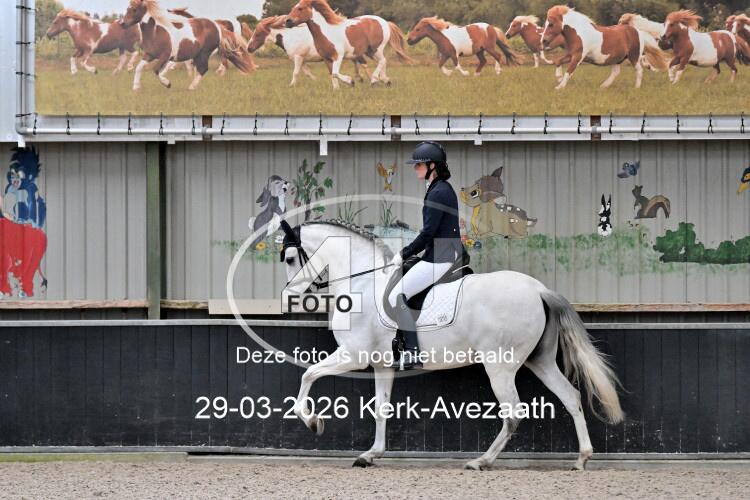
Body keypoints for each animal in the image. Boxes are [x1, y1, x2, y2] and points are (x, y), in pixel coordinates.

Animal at [119, 0, 253, 91]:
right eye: (127, 9)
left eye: (134, 9)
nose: (122, 24)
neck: (156, 32)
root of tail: (217, 25)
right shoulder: (149, 55)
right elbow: (139, 68)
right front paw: (136, 88)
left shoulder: (165, 56)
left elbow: (156, 70)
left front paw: (168, 84)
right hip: (199, 55)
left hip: (204, 53)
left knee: (204, 68)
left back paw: (191, 87)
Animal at [277, 219, 624, 470]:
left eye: (291, 258)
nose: (288, 296)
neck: (363, 281)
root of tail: (539, 290)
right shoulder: (381, 364)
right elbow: (381, 408)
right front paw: (371, 455)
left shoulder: (352, 355)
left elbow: (308, 374)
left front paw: (313, 422)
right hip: (540, 360)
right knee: (570, 397)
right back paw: (581, 459)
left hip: (499, 366)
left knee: (514, 412)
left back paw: (481, 461)